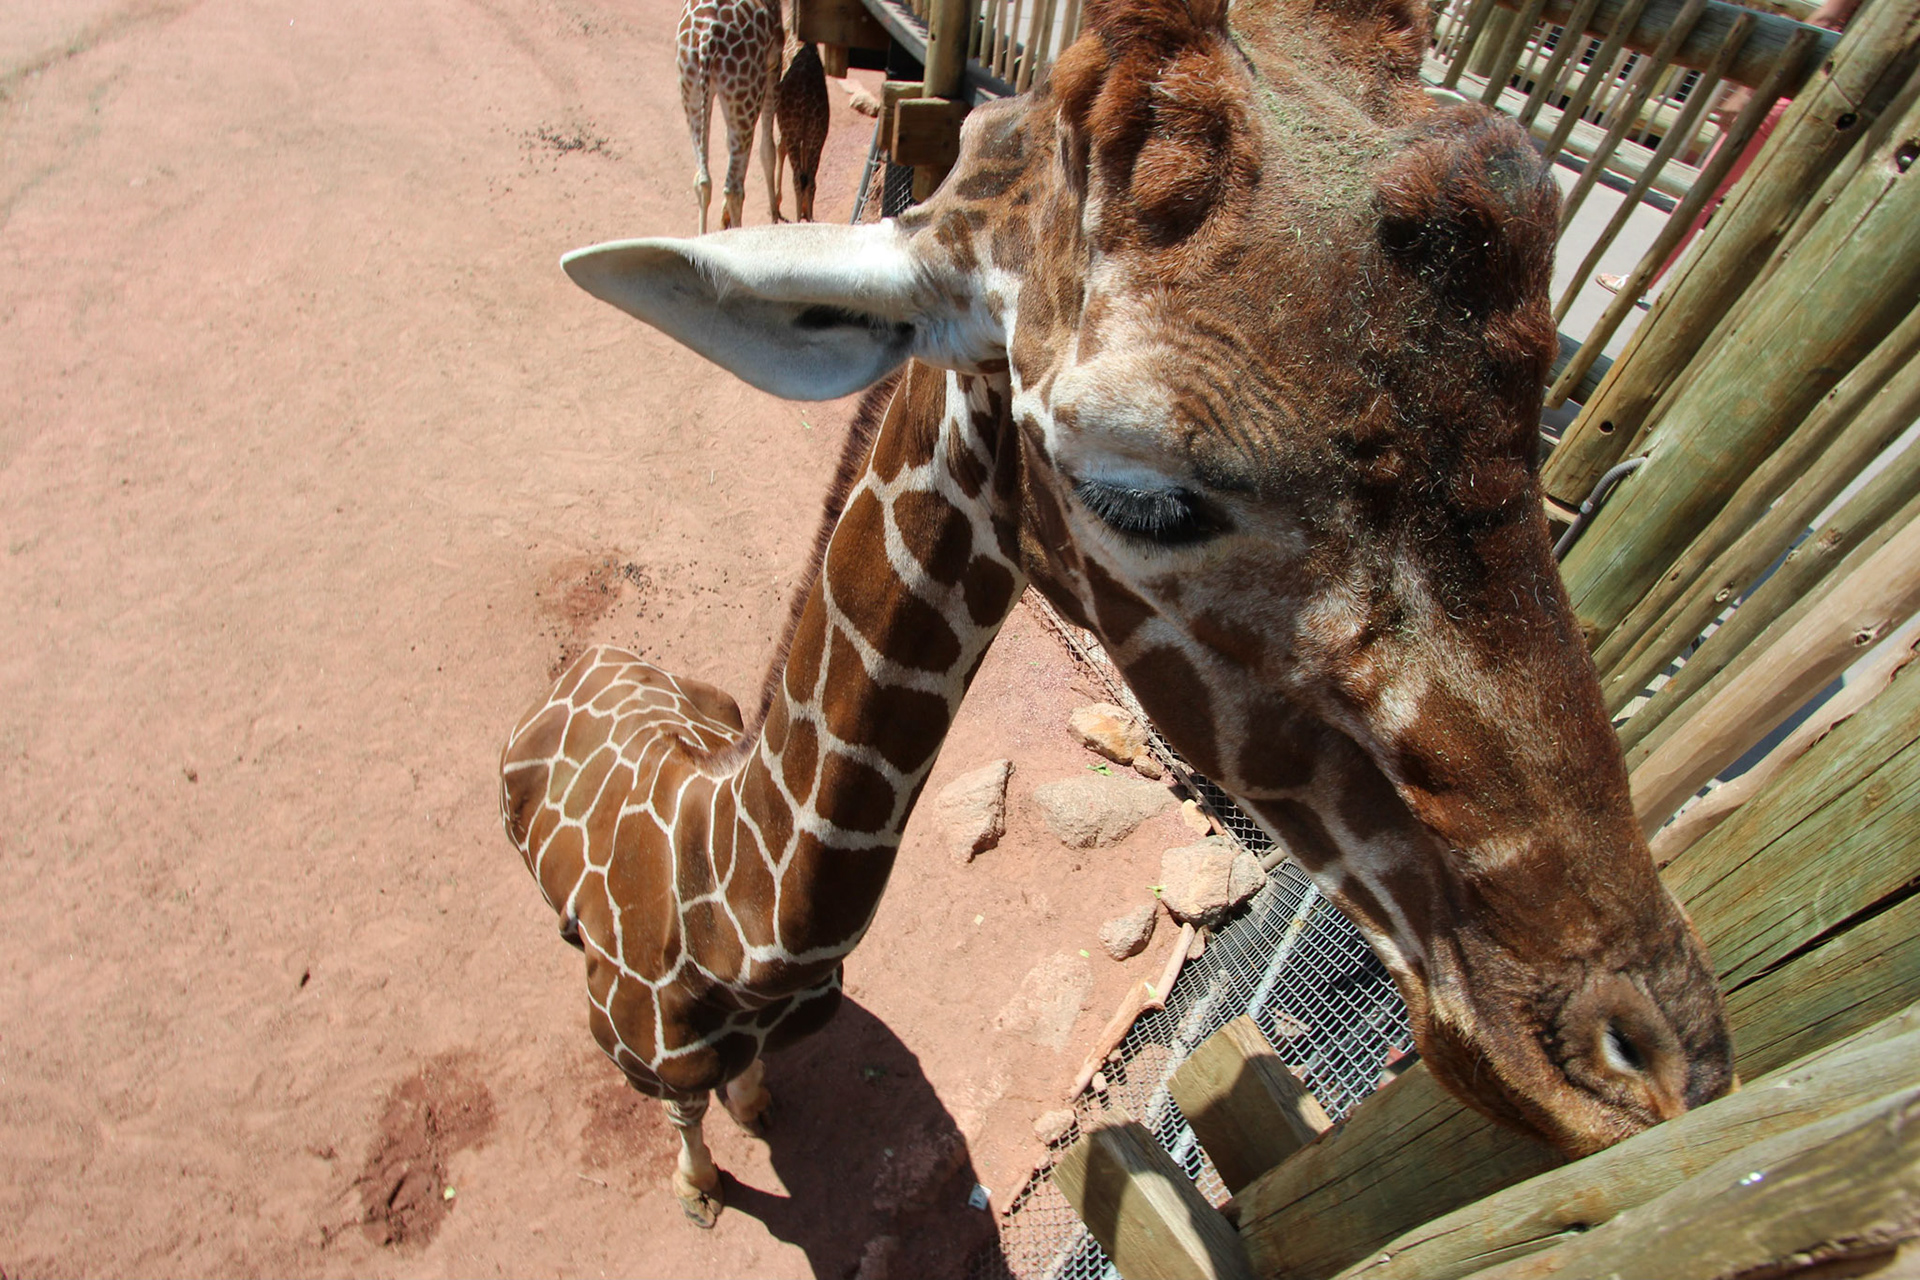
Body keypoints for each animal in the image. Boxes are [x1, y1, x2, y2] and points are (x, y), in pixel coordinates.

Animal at [675, 0, 782, 234]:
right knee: (734, 188)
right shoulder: (773, 63)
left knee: (703, 180)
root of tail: (706, 36)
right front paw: (775, 215)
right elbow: (768, 150)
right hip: (746, 94)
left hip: (691, 88)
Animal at [773, 40, 830, 222]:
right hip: (818, 134)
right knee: (810, 181)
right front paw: (805, 210)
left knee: (797, 179)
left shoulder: (787, 127)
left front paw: (776, 206)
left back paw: (797, 221)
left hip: (794, 131)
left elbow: (779, 146)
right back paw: (808, 218)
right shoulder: (808, 135)